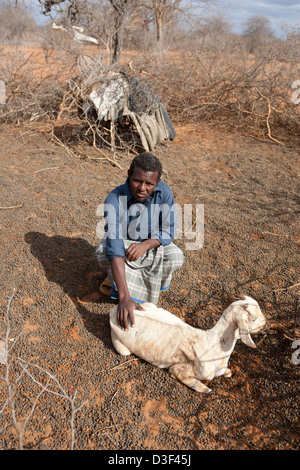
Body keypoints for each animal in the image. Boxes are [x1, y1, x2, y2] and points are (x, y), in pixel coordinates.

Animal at [109, 298, 268, 392]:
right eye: (253, 318)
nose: (267, 326)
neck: (213, 344)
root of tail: (113, 312)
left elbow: (225, 372)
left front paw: (228, 372)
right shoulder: (182, 368)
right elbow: (188, 377)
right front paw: (205, 388)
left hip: (148, 305)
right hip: (122, 347)